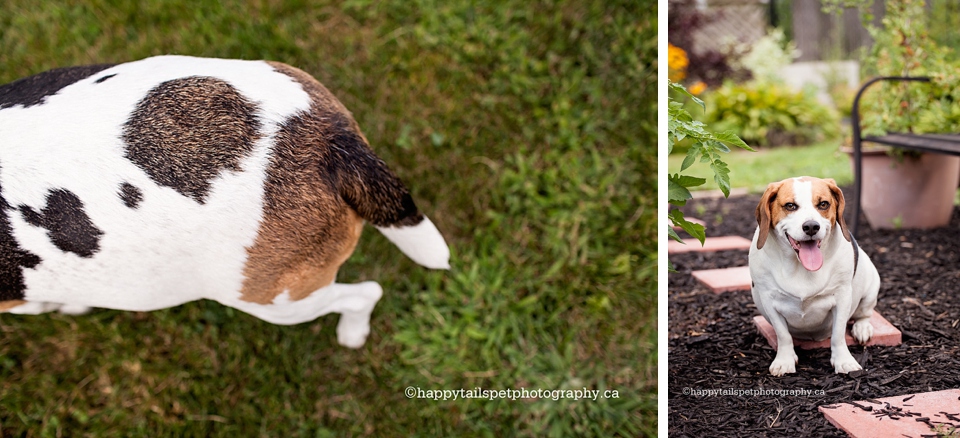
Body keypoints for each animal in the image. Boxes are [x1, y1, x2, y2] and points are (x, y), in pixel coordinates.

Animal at [752, 176, 876, 374]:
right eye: (790, 206)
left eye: (823, 204)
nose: (811, 226)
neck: (800, 266)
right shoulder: (768, 300)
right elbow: (783, 335)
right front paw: (785, 360)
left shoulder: (842, 298)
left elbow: (838, 334)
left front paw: (843, 361)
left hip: (871, 287)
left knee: (863, 314)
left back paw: (862, 328)